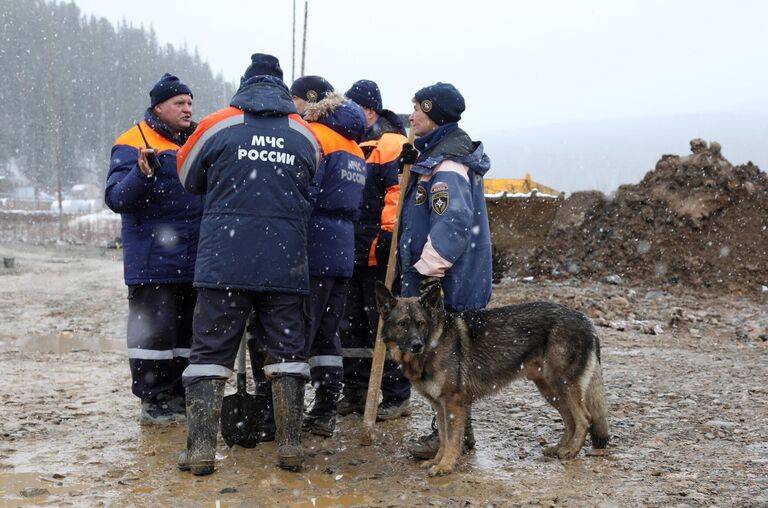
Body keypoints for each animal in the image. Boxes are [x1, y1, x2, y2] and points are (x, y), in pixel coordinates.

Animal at [376, 282, 608, 476]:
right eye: (403, 324)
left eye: (421, 323)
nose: (417, 345)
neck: (434, 341)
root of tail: (586, 320)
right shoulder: (439, 405)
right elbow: (442, 436)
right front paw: (437, 460)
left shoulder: (452, 403)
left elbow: (451, 439)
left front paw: (445, 466)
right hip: (551, 390)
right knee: (569, 419)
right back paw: (560, 447)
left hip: (563, 385)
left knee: (584, 418)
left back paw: (571, 451)